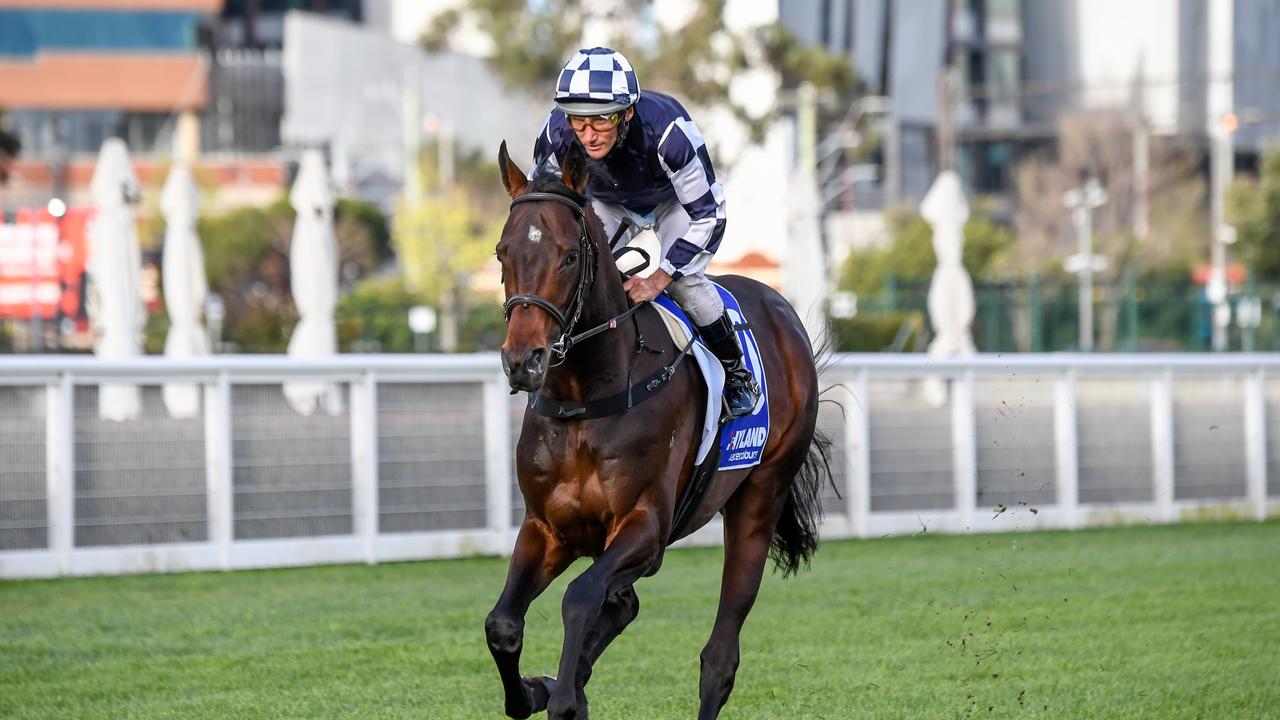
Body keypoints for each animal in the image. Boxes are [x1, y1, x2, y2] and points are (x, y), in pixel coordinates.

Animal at [483, 140, 834, 717]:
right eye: (502, 253)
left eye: (569, 255)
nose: (523, 361)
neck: (587, 401)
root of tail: (782, 309)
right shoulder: (547, 528)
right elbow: (503, 624)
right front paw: (536, 689)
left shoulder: (645, 526)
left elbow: (580, 598)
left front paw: (562, 695)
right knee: (623, 603)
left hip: (760, 498)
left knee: (719, 657)